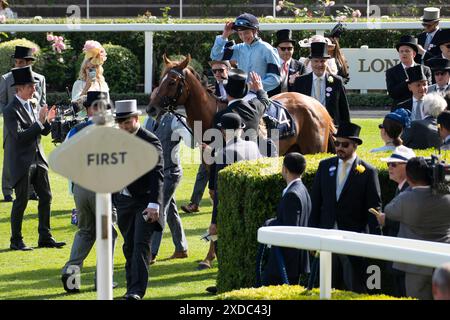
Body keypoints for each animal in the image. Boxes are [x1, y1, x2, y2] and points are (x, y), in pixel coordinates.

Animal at [148, 55, 334, 155]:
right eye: (161, 78)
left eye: (172, 82)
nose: (151, 108)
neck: (212, 114)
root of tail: (319, 106)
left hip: (315, 149)